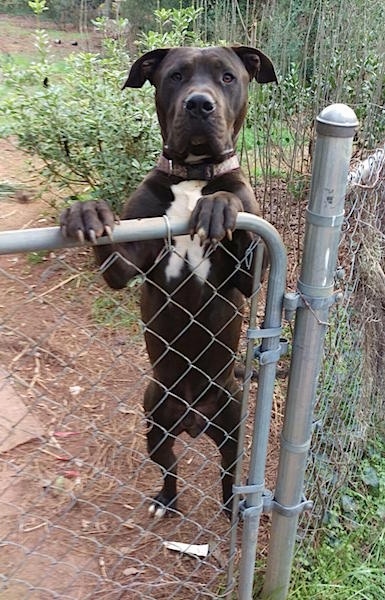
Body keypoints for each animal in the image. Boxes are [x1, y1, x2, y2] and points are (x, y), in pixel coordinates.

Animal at [60, 44, 276, 516]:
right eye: (175, 76)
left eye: (227, 76)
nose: (199, 104)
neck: (194, 177)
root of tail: (195, 420)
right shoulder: (125, 263)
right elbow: (112, 253)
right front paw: (86, 211)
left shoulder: (249, 273)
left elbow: (234, 212)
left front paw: (218, 205)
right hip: (155, 418)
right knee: (170, 465)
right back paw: (166, 499)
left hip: (233, 422)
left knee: (229, 472)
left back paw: (232, 506)